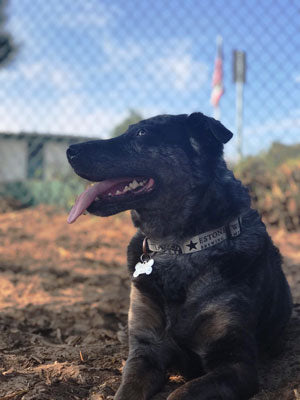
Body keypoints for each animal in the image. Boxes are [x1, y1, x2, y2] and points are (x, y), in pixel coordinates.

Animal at [67, 112, 292, 400]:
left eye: (141, 133)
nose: (70, 150)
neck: (178, 247)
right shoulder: (145, 352)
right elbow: (126, 391)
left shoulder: (235, 363)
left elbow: (180, 393)